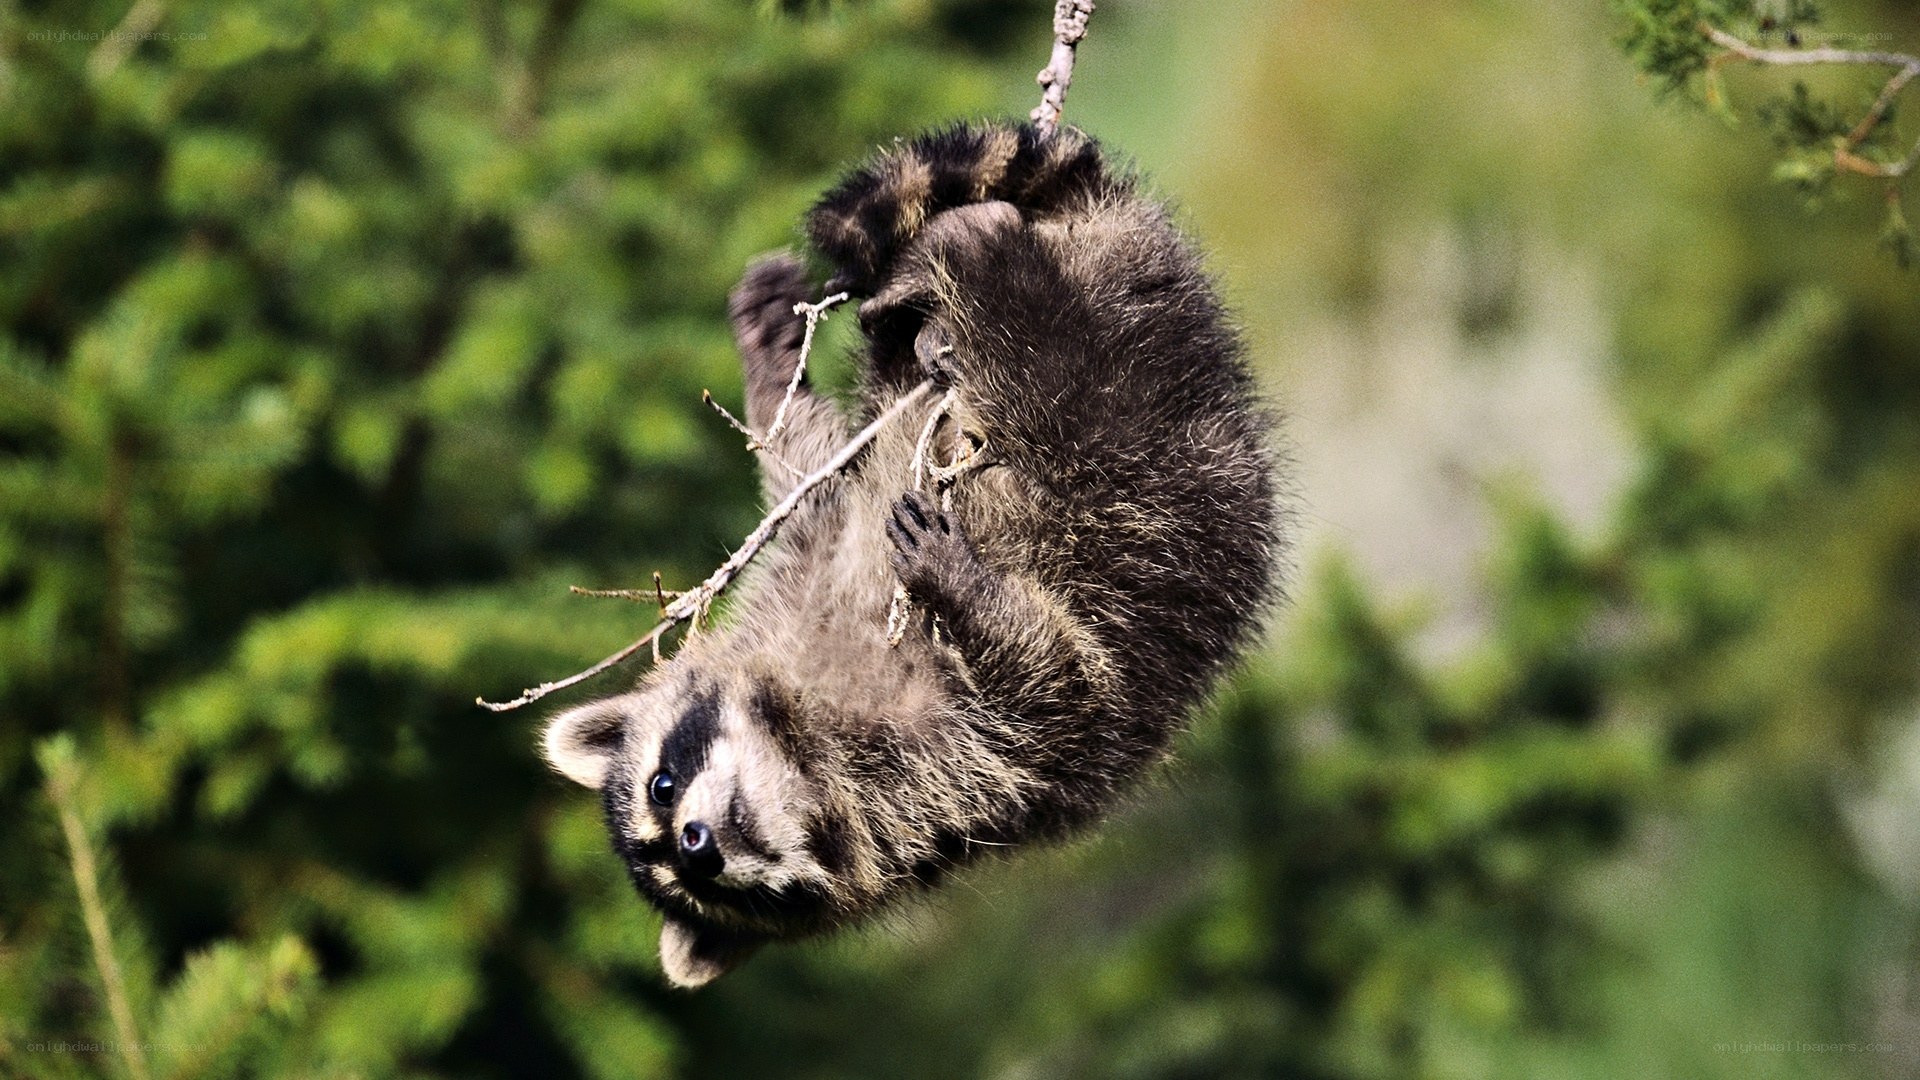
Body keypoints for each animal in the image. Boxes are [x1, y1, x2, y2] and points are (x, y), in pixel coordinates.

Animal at [542, 121, 1283, 987]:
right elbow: (1054, 691)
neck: (800, 743)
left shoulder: (816, 564)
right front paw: (977, 598)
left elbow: (814, 471)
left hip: (1131, 395)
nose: (698, 847)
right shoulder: (966, 788)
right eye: (699, 885)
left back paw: (972, 251)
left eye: (662, 787)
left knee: (1050, 368)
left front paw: (768, 367)